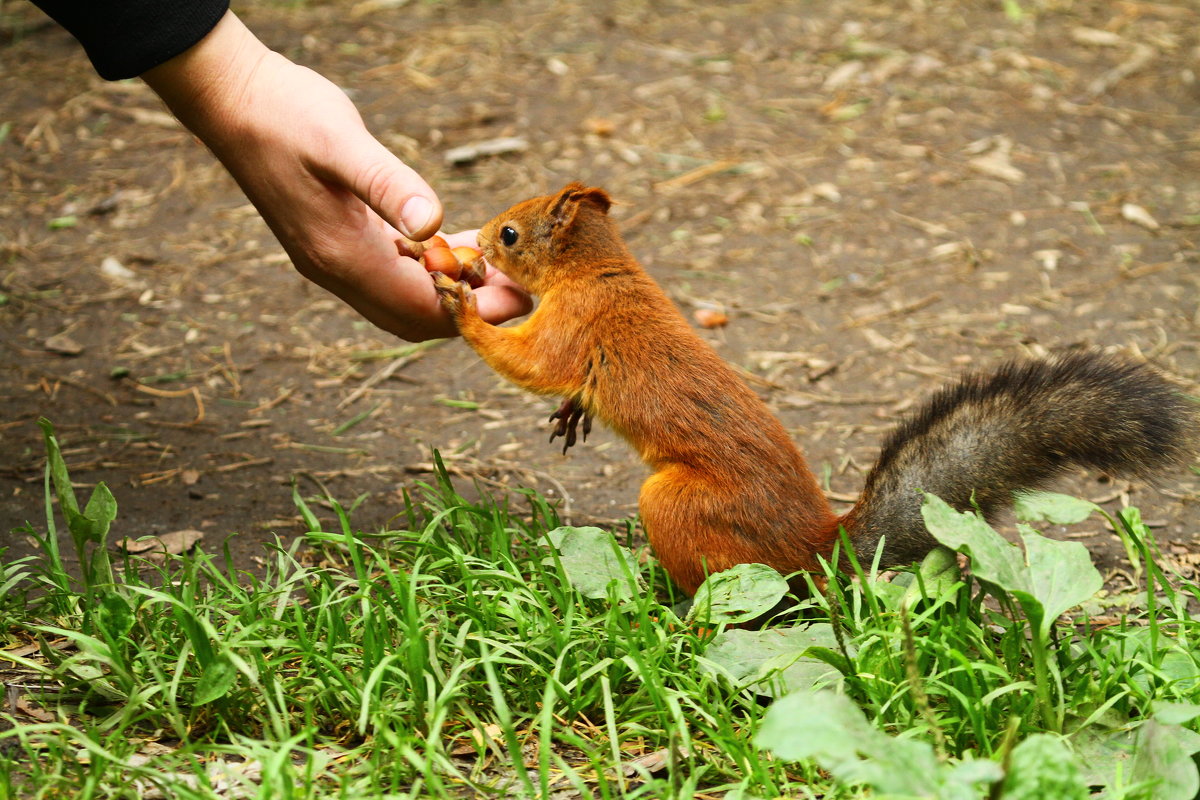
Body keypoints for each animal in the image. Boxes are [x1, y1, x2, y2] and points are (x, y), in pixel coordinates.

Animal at [432, 181, 1200, 594]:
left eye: (510, 233)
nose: (476, 242)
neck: (597, 271)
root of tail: (815, 544)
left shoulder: (572, 327)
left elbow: (530, 363)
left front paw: (458, 304)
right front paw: (571, 413)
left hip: (679, 506)